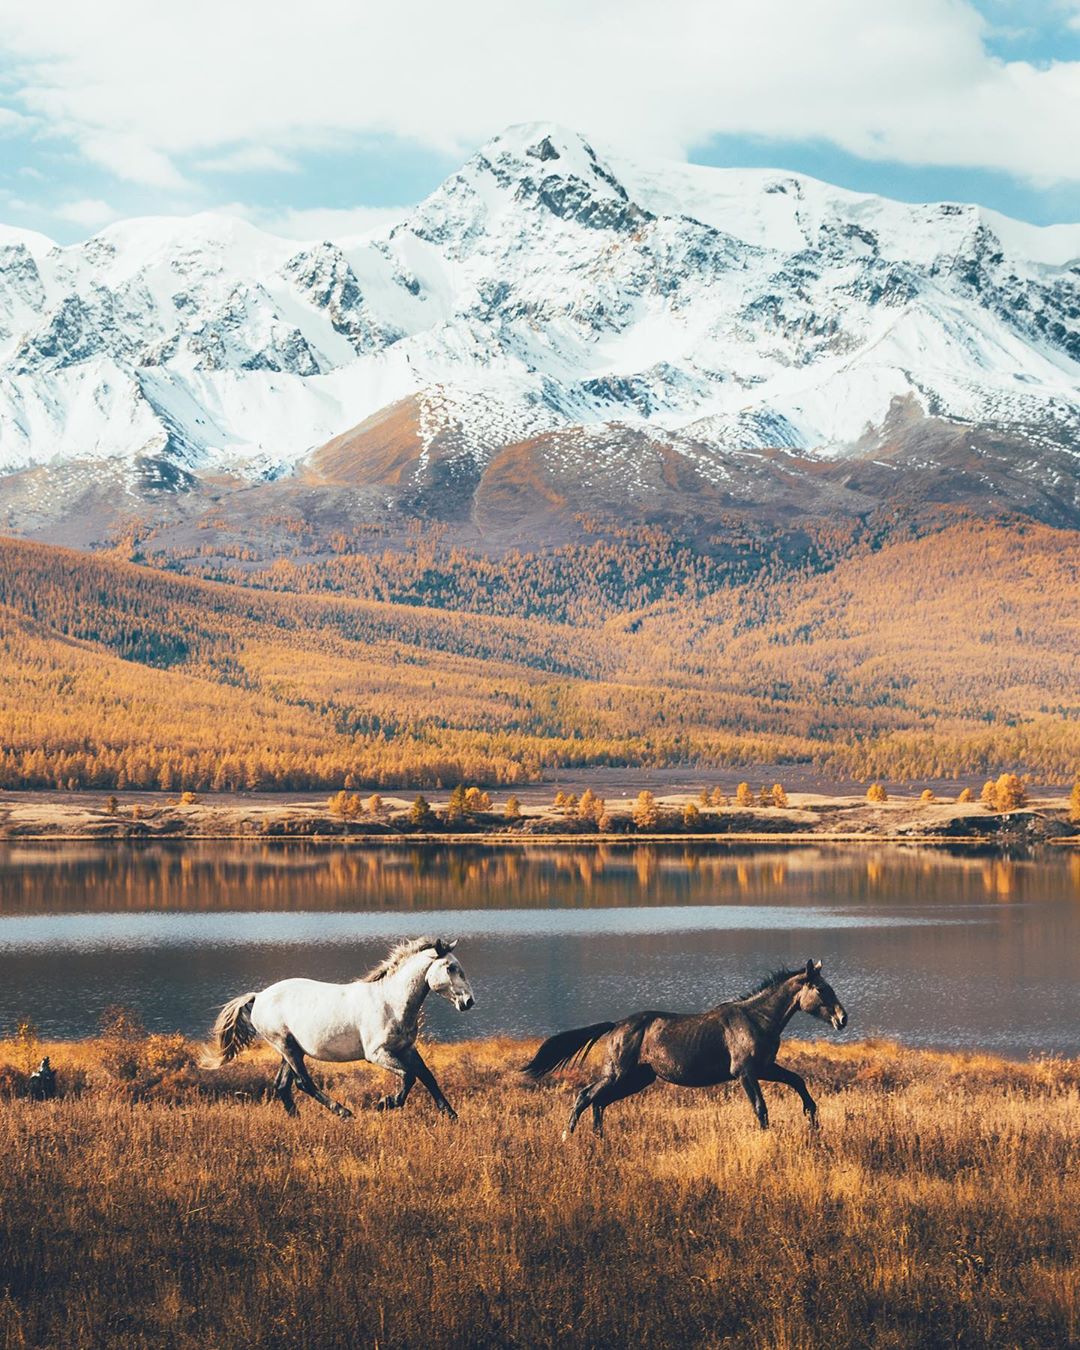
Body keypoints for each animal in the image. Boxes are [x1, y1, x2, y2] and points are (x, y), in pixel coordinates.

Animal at [205, 939, 472, 1117]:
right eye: (450, 967)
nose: (469, 1002)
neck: (390, 1002)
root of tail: (259, 996)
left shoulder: (406, 1048)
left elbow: (427, 1076)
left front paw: (451, 1115)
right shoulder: (376, 1054)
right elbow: (409, 1076)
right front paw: (385, 1103)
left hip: (291, 1049)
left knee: (283, 1085)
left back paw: (297, 1118)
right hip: (286, 1046)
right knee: (303, 1083)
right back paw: (343, 1112)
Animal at [521, 955, 842, 1134]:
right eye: (821, 989)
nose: (843, 1018)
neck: (757, 1019)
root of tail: (616, 1025)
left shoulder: (765, 1067)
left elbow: (797, 1081)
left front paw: (813, 1120)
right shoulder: (746, 1073)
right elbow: (760, 1108)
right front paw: (768, 1136)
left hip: (638, 1078)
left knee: (599, 1102)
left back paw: (598, 1139)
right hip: (618, 1074)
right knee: (585, 1096)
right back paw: (569, 1136)